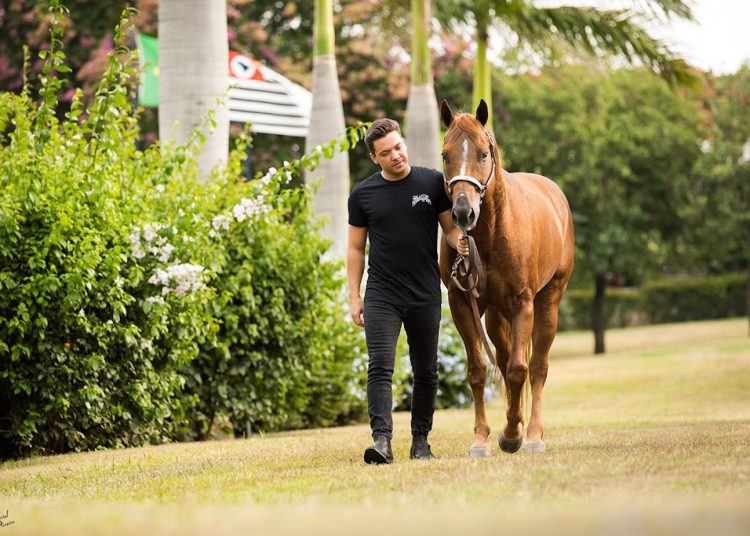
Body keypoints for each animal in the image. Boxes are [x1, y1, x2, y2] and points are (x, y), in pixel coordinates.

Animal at [439, 99, 575, 456]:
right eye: (445, 154)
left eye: (483, 153)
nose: (463, 213)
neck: (491, 234)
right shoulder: (462, 303)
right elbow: (478, 370)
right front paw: (483, 437)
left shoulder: (523, 303)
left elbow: (518, 370)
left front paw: (513, 434)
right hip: (496, 316)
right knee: (502, 358)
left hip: (547, 302)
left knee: (537, 367)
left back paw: (534, 434)